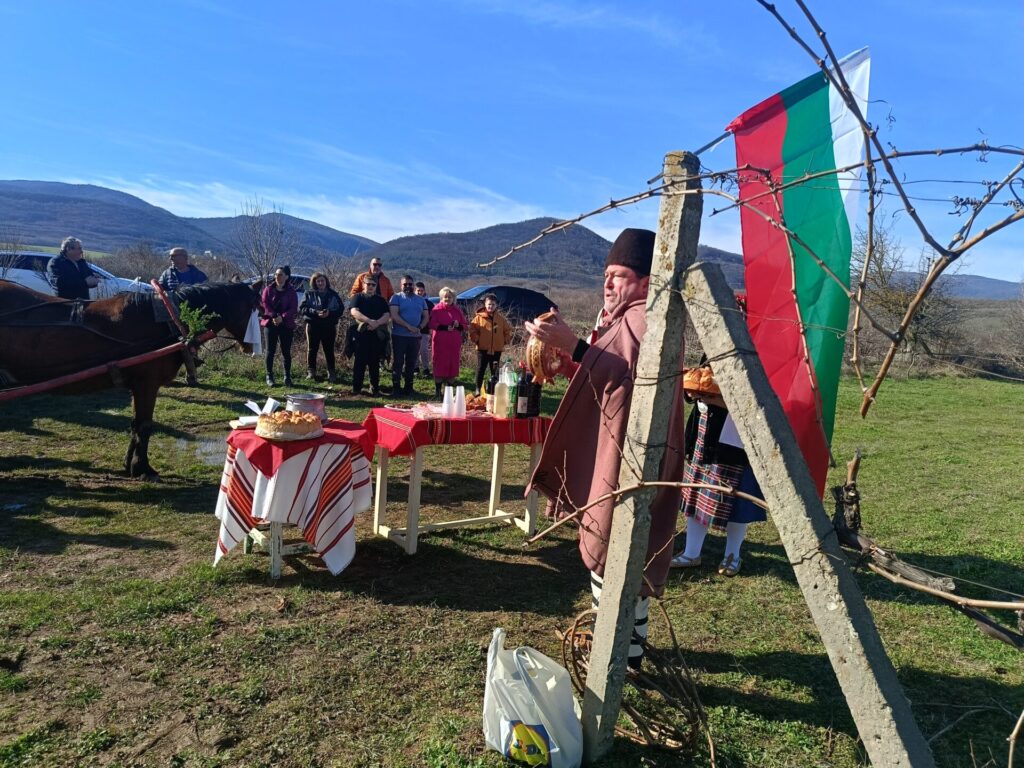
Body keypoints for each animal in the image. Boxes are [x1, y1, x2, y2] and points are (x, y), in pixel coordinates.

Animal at [0, 280, 260, 479]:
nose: (253, 346)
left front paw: (129, 464)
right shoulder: (147, 384)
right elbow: (144, 426)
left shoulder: (138, 386)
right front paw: (143, 468)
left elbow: (135, 425)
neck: (166, 319)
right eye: (254, 306)